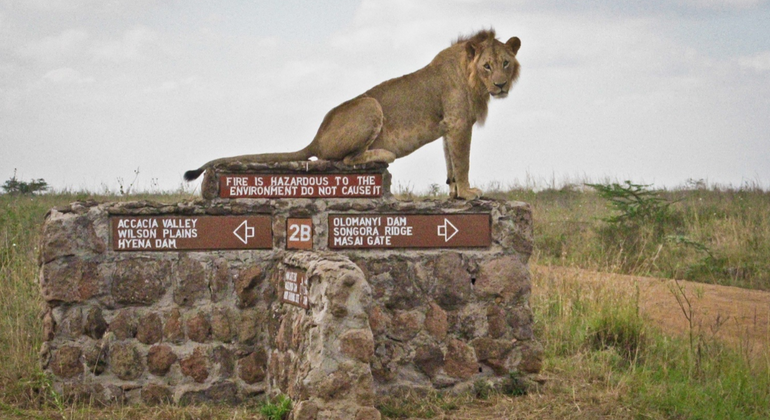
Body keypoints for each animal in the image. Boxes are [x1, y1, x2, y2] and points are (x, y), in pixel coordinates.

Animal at [184, 29, 520, 200]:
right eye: (487, 66)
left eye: (505, 63)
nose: (501, 85)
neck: (473, 79)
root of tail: (317, 137)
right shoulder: (459, 123)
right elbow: (463, 161)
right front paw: (468, 192)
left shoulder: (448, 126)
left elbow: (450, 160)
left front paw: (453, 191)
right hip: (370, 106)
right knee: (344, 160)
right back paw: (383, 154)